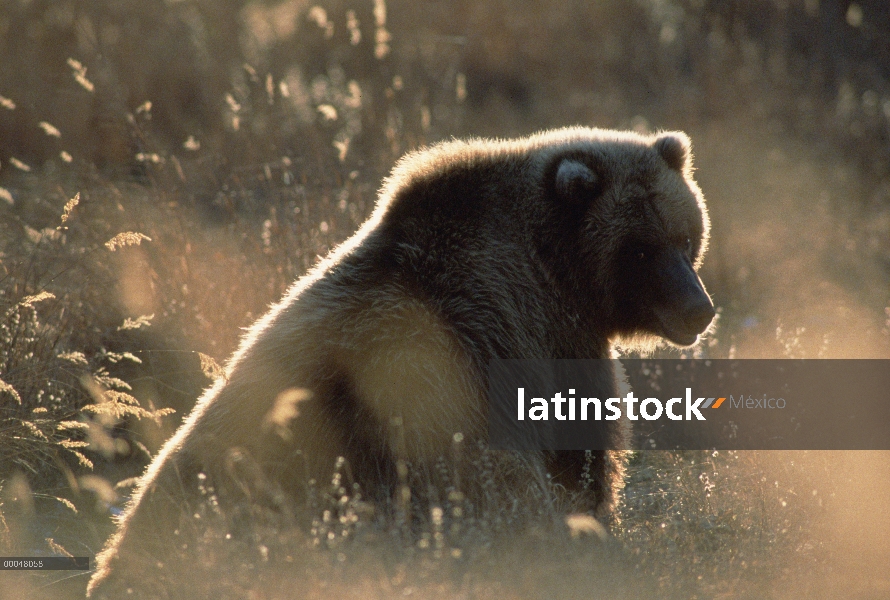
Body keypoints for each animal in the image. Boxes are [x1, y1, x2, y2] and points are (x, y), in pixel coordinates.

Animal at [88, 126, 716, 596]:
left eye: (685, 238)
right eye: (639, 249)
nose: (699, 309)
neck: (554, 273)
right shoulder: (537, 340)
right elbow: (578, 461)